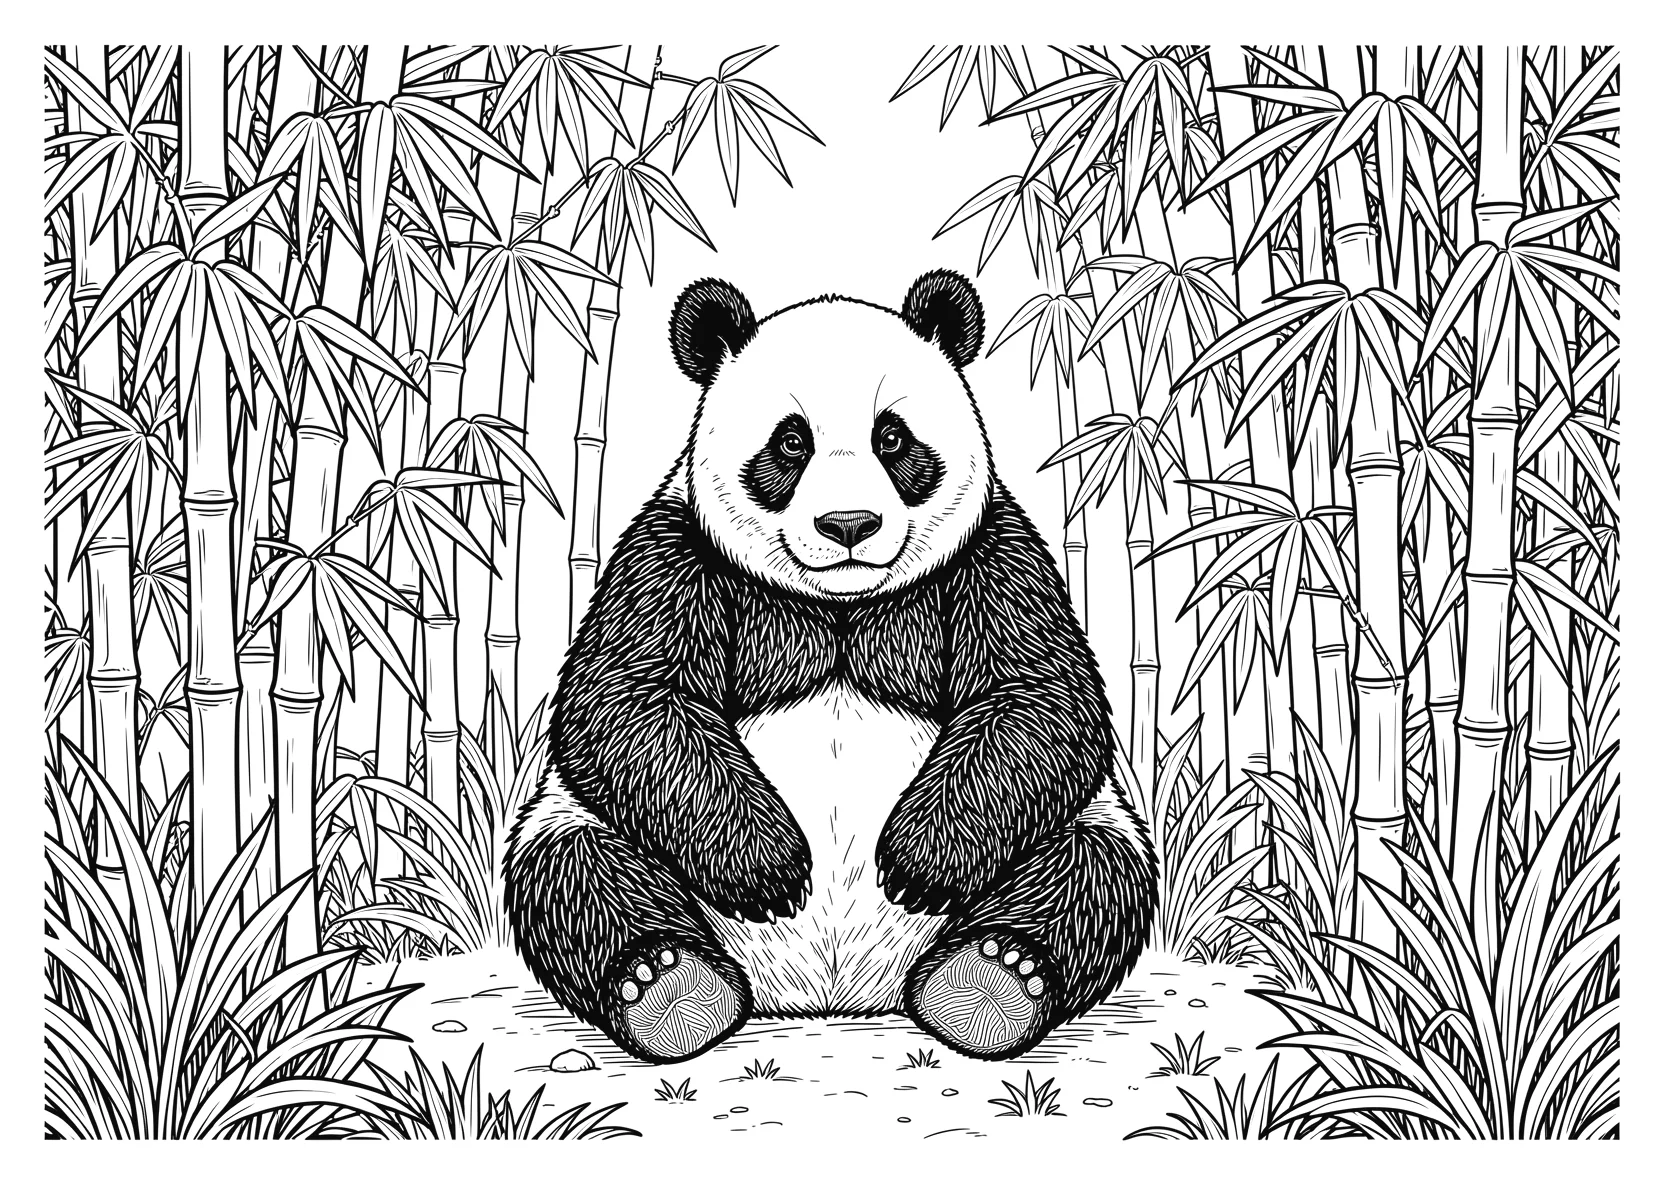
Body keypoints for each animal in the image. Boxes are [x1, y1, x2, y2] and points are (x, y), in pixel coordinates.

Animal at [506, 270, 1155, 1064]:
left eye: (892, 437)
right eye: (791, 442)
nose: (849, 525)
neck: (840, 601)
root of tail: (830, 992)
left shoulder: (991, 555)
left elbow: (1038, 695)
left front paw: (917, 865)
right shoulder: (677, 551)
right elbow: (629, 697)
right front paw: (769, 871)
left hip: (1089, 823)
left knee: (1096, 870)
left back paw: (988, 982)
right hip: (573, 820)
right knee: (573, 872)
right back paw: (670, 986)